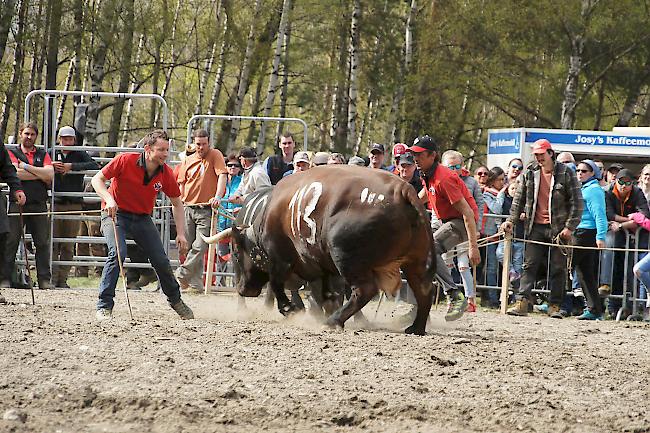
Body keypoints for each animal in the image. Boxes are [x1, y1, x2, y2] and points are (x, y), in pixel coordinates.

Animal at [204, 165, 436, 334]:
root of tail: (402, 191)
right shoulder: (323, 268)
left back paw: (333, 321)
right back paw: (416, 327)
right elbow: (326, 294)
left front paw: (290, 309)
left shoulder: (281, 260)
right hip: (415, 261)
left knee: (364, 290)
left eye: (236, 252)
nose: (243, 289)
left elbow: (277, 285)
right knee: (424, 290)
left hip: (347, 258)